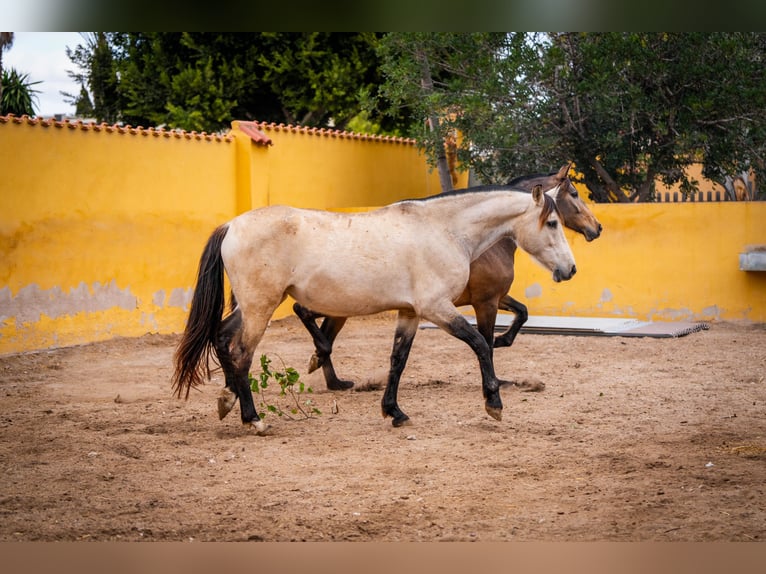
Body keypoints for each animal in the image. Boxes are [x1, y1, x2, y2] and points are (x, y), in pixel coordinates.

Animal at [172, 184, 576, 432]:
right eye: (553, 222)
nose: (570, 269)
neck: (444, 230)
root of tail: (231, 226)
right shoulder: (437, 308)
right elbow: (480, 343)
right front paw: (494, 402)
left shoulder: (411, 313)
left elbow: (397, 360)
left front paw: (394, 412)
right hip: (261, 307)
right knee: (241, 353)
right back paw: (252, 419)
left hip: (251, 307)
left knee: (222, 339)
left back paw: (227, 401)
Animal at [296, 164, 604, 394]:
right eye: (574, 193)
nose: (597, 228)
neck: (477, 241)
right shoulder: (485, 301)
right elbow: (486, 338)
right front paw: (496, 375)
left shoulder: (497, 297)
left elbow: (522, 312)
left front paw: (502, 346)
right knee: (305, 313)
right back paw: (324, 364)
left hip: (344, 308)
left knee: (323, 329)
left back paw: (333, 379)